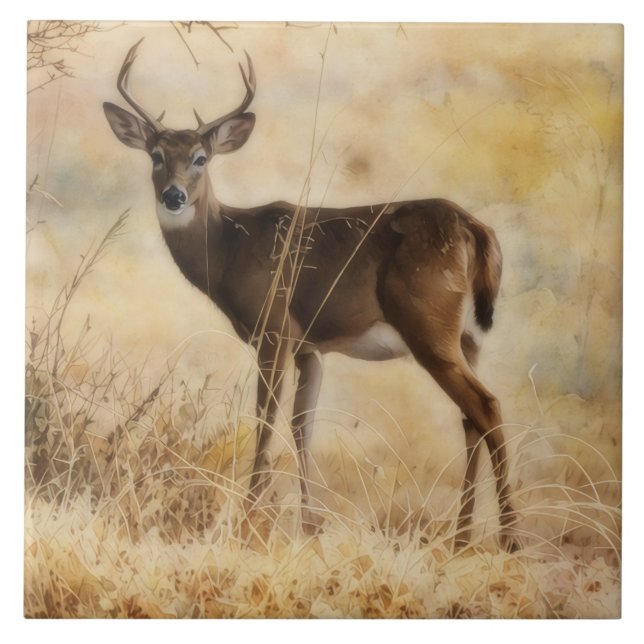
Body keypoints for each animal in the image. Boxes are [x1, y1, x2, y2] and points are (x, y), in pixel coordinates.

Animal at [103, 39, 519, 552]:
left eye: (201, 157)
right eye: (156, 155)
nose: (175, 196)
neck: (230, 246)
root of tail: (477, 229)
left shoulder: (274, 330)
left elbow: (265, 420)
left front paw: (251, 520)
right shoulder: (310, 347)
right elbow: (303, 426)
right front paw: (309, 526)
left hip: (428, 325)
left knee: (487, 406)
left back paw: (510, 538)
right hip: (467, 337)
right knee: (469, 418)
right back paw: (461, 538)